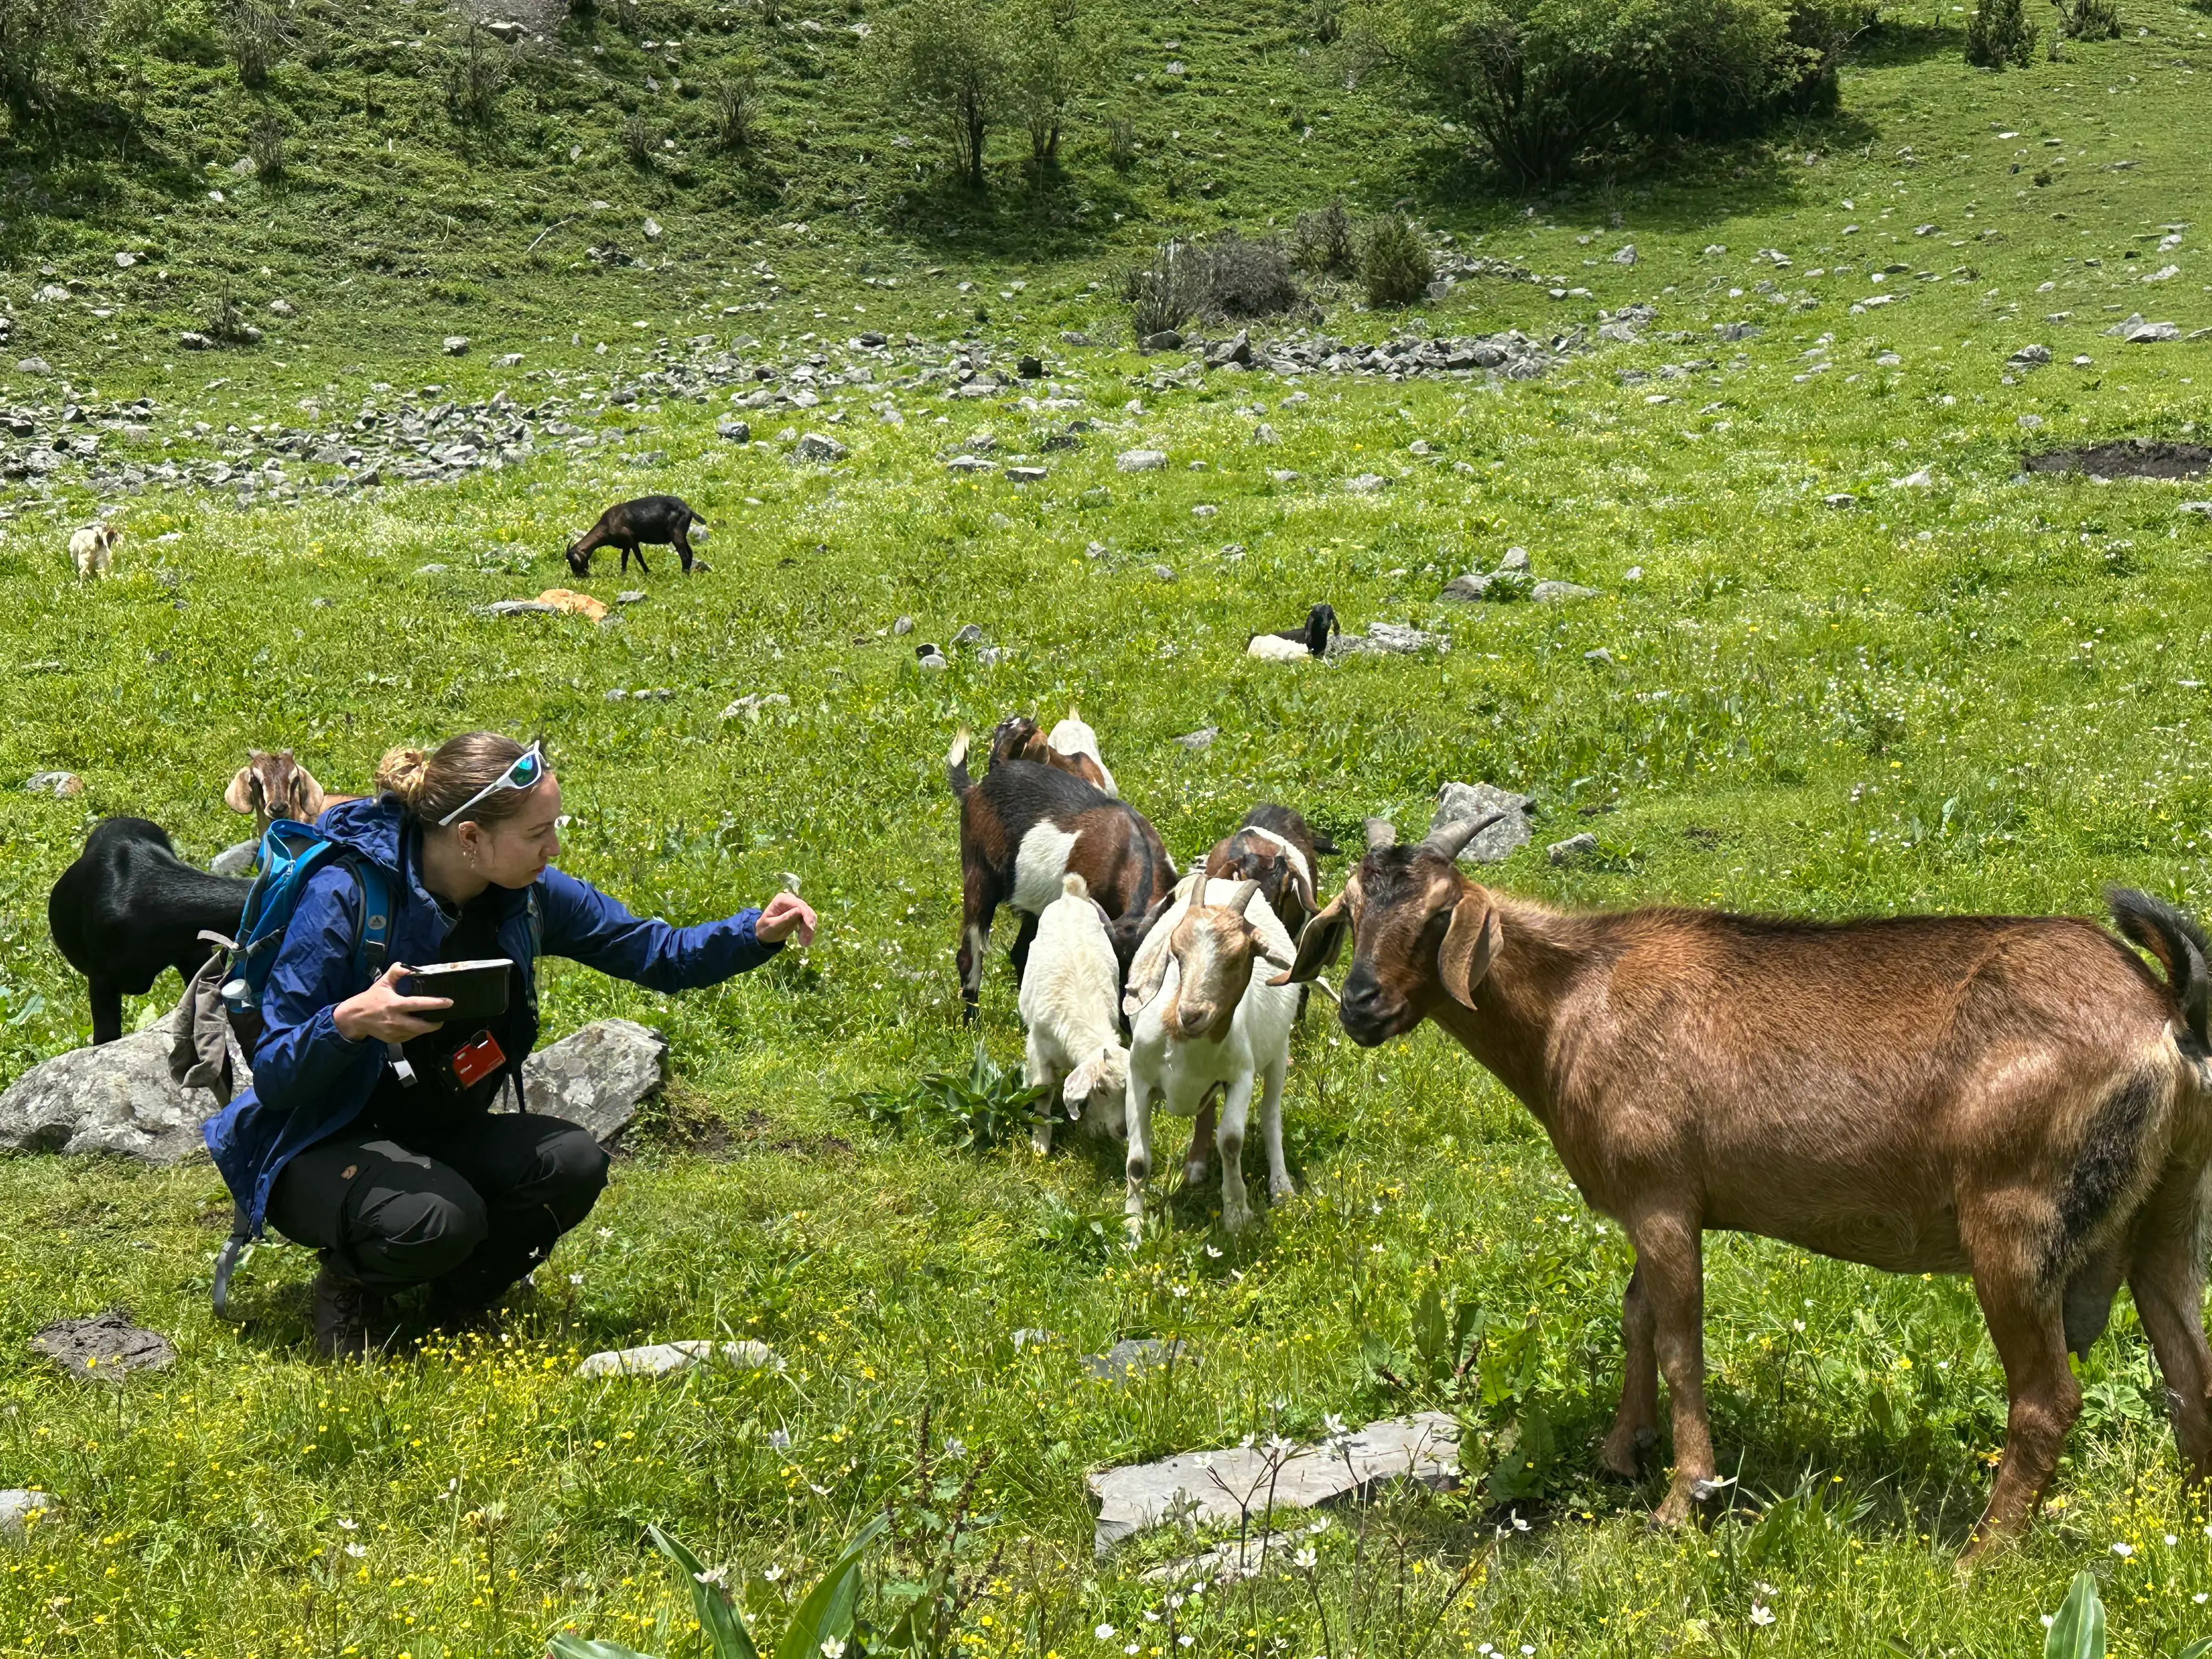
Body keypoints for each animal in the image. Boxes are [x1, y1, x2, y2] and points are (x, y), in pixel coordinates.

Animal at [565, 495, 708, 578]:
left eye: (573, 561)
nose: (579, 576)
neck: (607, 525)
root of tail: (688, 510)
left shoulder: (631, 539)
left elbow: (639, 557)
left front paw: (648, 573)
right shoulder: (626, 545)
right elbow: (624, 559)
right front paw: (623, 575)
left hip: (676, 533)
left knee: (684, 555)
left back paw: (683, 575)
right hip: (683, 534)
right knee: (690, 553)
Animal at [947, 732, 1174, 1023]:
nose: (1126, 1018)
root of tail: (975, 789)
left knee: (1020, 953)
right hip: (978, 871)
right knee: (971, 951)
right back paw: (971, 1023)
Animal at [1018, 873, 1131, 1154]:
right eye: (1103, 1090)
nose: (1123, 1131)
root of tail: (1072, 895)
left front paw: (1090, 1128)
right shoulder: (1039, 1048)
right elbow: (1043, 1090)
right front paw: (1040, 1142)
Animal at [1123, 876, 1300, 1232]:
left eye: (1238, 957)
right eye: (1176, 952)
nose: (1191, 1014)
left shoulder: (1241, 1076)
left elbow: (1231, 1143)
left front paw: (1237, 1216)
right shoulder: (1138, 1078)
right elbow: (1137, 1162)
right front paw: (1132, 1227)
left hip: (1278, 1052)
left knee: (1271, 1116)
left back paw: (1282, 1189)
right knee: (1207, 1108)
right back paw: (1195, 1164)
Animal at [1280, 813, 2212, 1560]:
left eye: (1439, 915)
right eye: (1352, 914)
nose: (1360, 1005)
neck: (1576, 1001)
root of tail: (2165, 1014)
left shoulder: (1662, 1196)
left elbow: (1677, 1338)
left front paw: (1682, 1498)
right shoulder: (1657, 1201)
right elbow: (1635, 1316)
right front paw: (1621, 1453)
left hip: (2014, 1220)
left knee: (2048, 1400)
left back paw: (1979, 1558)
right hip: (2169, 1214)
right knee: (2190, 1374)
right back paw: (2190, 1523)